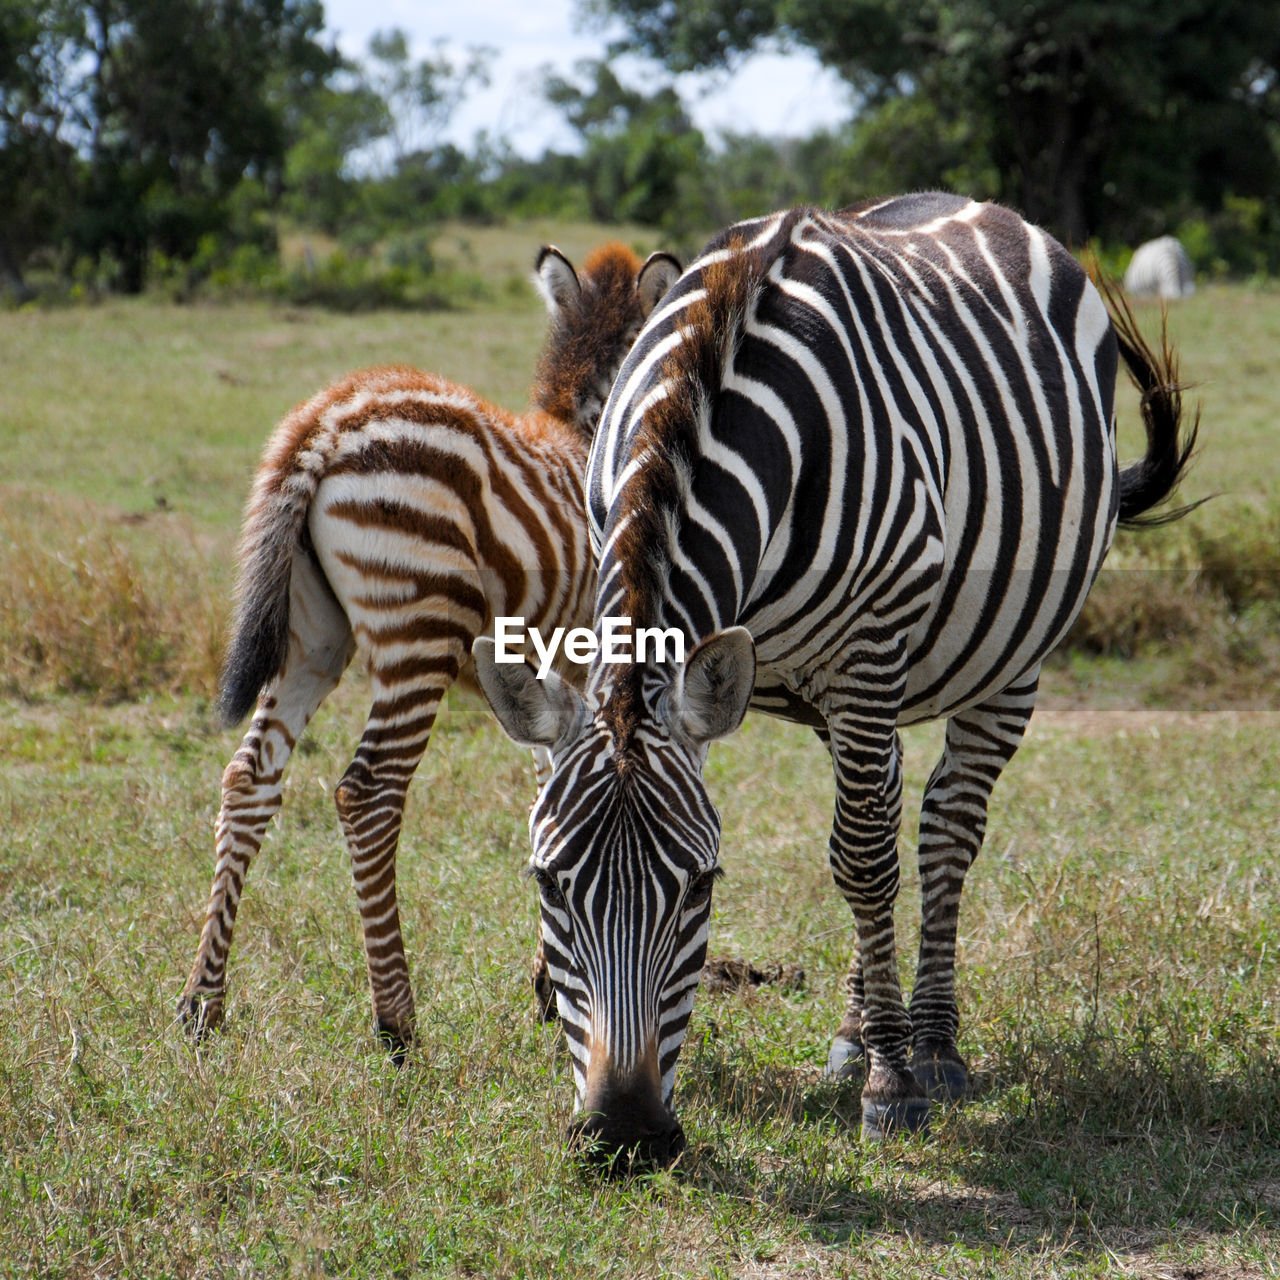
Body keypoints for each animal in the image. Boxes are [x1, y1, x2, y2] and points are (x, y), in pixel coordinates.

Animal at [177, 244, 691, 1054]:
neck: (585, 432)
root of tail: (324, 421)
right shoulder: (590, 657)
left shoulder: (549, 674)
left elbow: (549, 791)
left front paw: (550, 987)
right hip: (417, 628)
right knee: (368, 793)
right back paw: (397, 1020)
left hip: (312, 636)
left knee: (249, 779)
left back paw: (203, 1001)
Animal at [473, 194, 1198, 1167]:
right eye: (547, 883)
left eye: (703, 886)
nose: (625, 1134)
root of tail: (979, 205)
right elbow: (853, 849)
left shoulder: (871, 642)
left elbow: (865, 859)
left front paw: (892, 1086)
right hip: (839, 691)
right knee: (881, 810)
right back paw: (860, 1030)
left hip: (1002, 659)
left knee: (935, 832)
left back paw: (930, 1045)